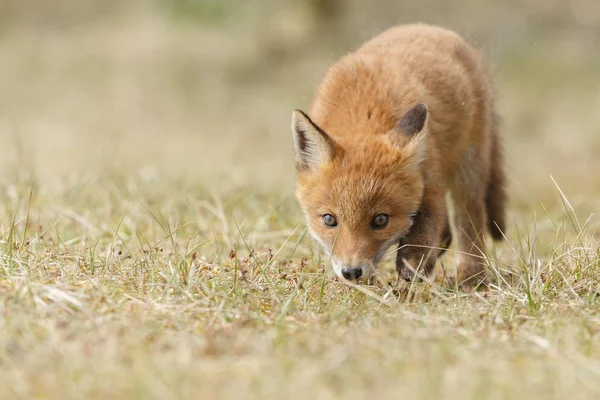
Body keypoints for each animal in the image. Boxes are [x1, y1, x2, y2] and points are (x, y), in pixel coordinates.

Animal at [290, 23, 506, 286]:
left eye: (380, 220)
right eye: (329, 220)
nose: (351, 272)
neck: (363, 111)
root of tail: (429, 27)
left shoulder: (429, 178)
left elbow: (425, 226)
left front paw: (412, 263)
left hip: (469, 164)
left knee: (468, 219)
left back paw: (471, 276)